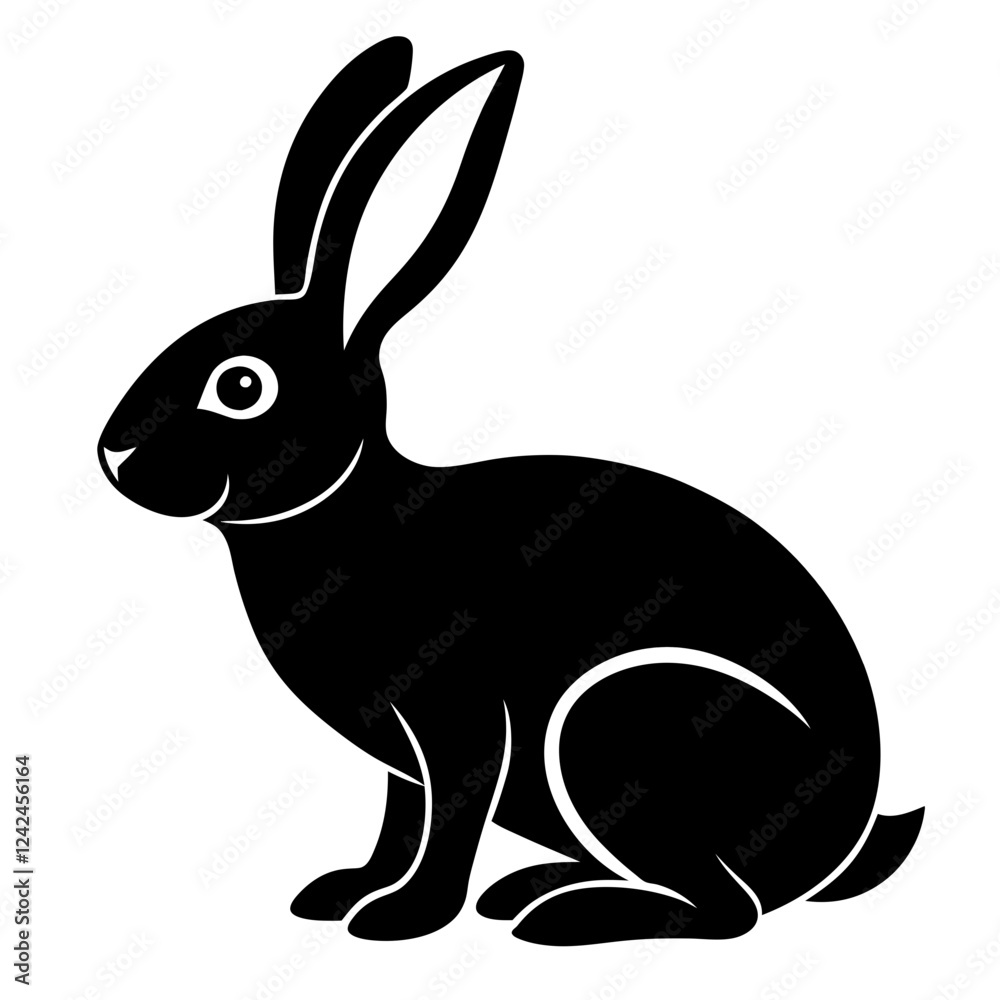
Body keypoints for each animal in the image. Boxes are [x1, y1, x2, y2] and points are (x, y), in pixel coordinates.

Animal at [98, 37, 924, 945]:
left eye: (241, 386)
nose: (113, 454)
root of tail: (844, 839)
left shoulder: (457, 716)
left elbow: (449, 818)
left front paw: (402, 919)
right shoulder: (403, 758)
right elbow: (400, 819)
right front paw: (346, 892)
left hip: (619, 727)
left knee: (729, 909)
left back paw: (564, 916)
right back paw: (530, 888)